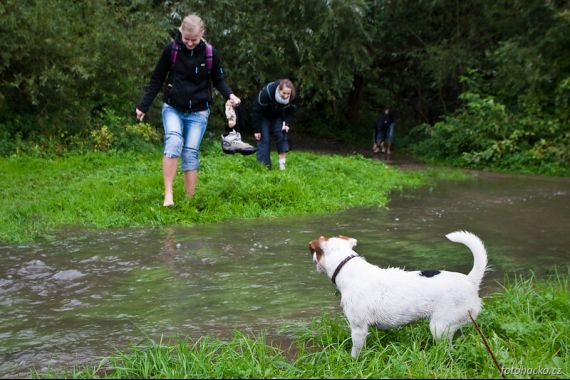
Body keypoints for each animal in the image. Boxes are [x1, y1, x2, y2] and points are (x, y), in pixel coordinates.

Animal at [308, 230, 486, 358]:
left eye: (315, 252)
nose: (312, 258)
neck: (346, 266)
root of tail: (470, 281)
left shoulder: (358, 329)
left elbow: (355, 352)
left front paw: (353, 363)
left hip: (439, 327)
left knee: (447, 348)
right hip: (455, 324)